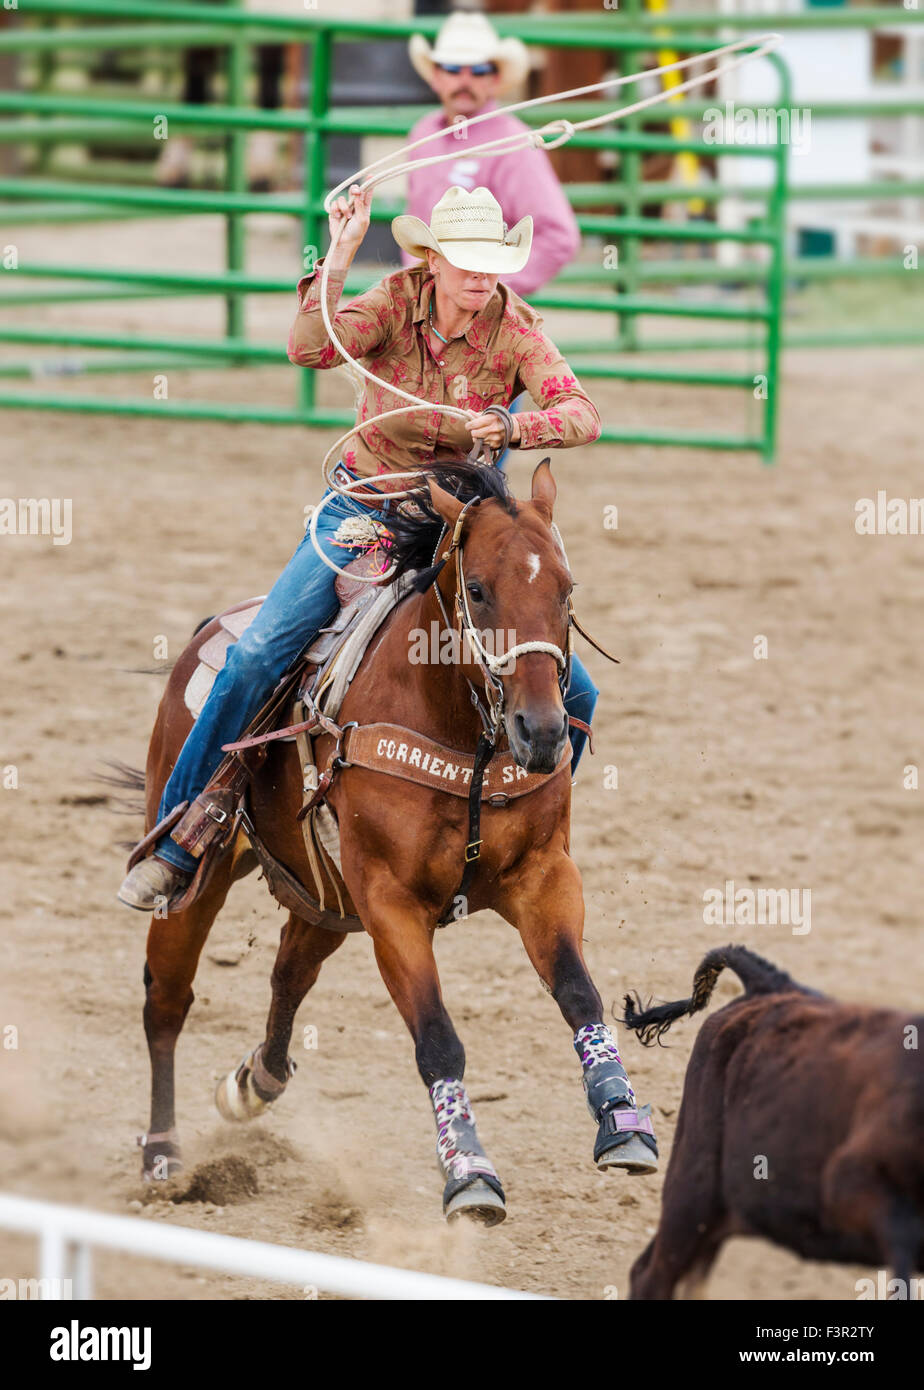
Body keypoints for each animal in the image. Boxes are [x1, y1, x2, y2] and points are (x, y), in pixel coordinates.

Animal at [136, 461, 655, 1223]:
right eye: (478, 590)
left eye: (566, 588)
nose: (540, 732)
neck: (465, 738)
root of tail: (213, 633)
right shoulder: (392, 904)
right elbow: (438, 1039)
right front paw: (469, 1172)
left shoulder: (544, 877)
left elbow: (578, 994)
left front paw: (623, 1123)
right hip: (201, 880)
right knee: (167, 999)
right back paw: (163, 1157)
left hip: (326, 898)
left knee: (290, 972)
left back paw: (255, 1080)